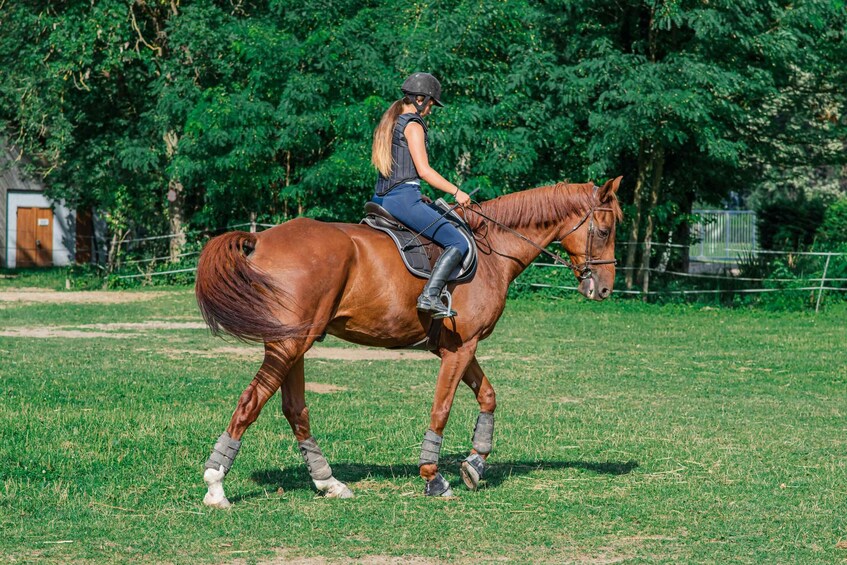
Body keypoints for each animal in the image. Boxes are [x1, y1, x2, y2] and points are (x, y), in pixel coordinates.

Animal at [197, 175, 624, 502]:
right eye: (604, 231)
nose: (603, 289)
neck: (492, 254)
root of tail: (261, 240)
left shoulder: (460, 348)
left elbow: (488, 397)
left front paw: (475, 464)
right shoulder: (461, 348)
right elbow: (442, 409)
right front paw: (434, 477)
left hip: (296, 343)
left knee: (294, 409)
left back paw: (328, 482)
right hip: (288, 346)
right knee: (252, 401)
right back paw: (216, 486)